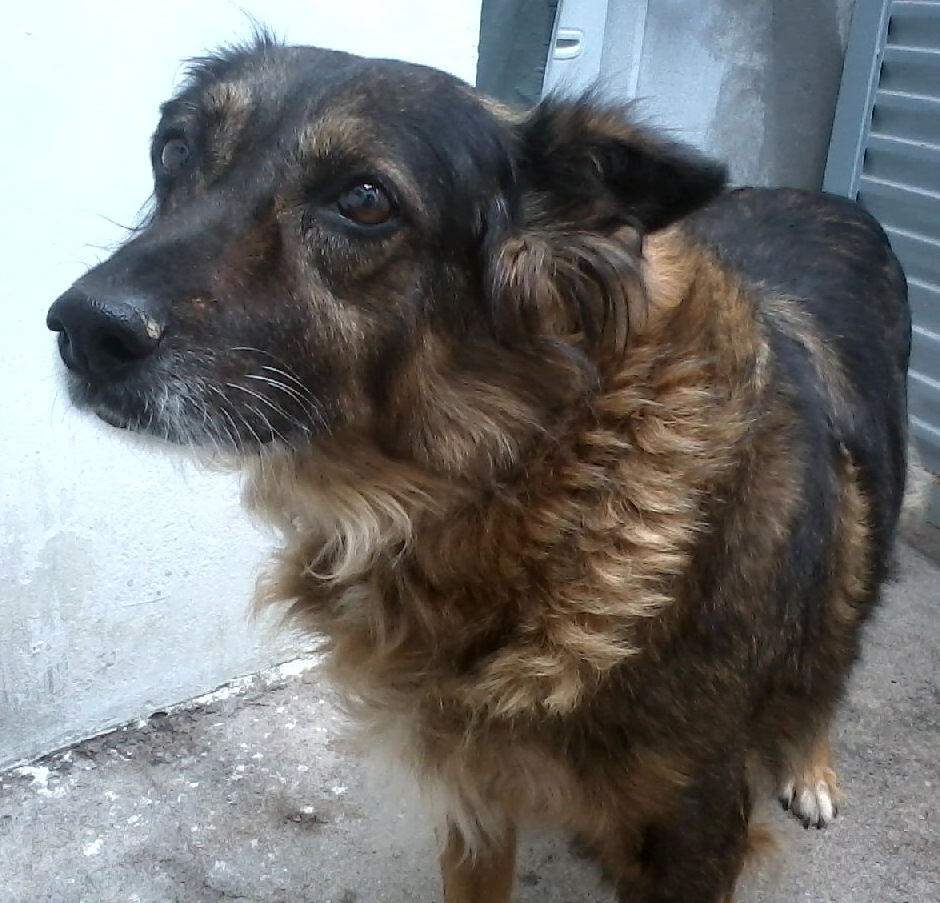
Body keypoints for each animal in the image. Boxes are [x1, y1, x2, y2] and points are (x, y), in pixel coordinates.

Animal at [47, 36, 910, 903]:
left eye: (365, 200)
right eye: (174, 150)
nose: (83, 330)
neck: (542, 479)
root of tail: (829, 198)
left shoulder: (697, 830)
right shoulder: (471, 786)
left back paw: (810, 765)